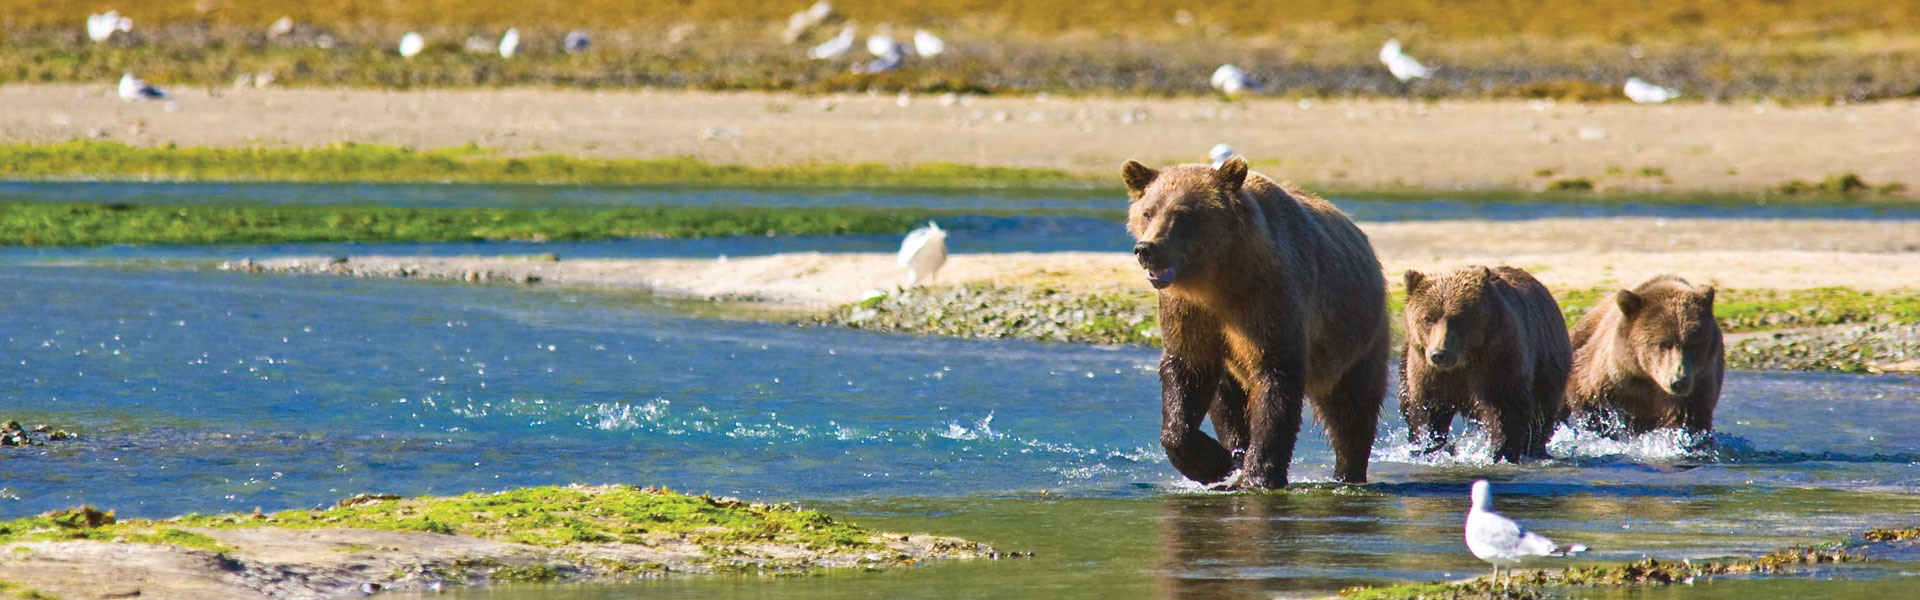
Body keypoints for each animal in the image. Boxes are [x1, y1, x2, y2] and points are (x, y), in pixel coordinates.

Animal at [1121, 156, 1390, 490]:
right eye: (1147, 211)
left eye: (1182, 214)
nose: (1147, 249)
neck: (1218, 280)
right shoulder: (1189, 312)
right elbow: (1186, 370)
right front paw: (1215, 463)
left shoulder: (1268, 298)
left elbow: (1276, 379)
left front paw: (1258, 475)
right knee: (1227, 404)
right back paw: (1235, 452)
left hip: (1356, 338)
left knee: (1352, 410)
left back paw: (1347, 473)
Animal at [1405, 265, 1566, 461]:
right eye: (1428, 318)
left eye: (1459, 318)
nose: (1439, 354)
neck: (1463, 361)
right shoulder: (1428, 372)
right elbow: (1427, 411)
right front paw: (1425, 447)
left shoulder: (1497, 361)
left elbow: (1504, 407)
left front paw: (1498, 451)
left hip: (1547, 365)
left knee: (1541, 415)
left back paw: (1535, 448)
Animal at [1559, 275, 1728, 432]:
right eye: (1663, 343)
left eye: (1693, 344)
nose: (1678, 381)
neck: (1648, 377)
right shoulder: (1611, 375)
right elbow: (1586, 395)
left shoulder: (1696, 392)